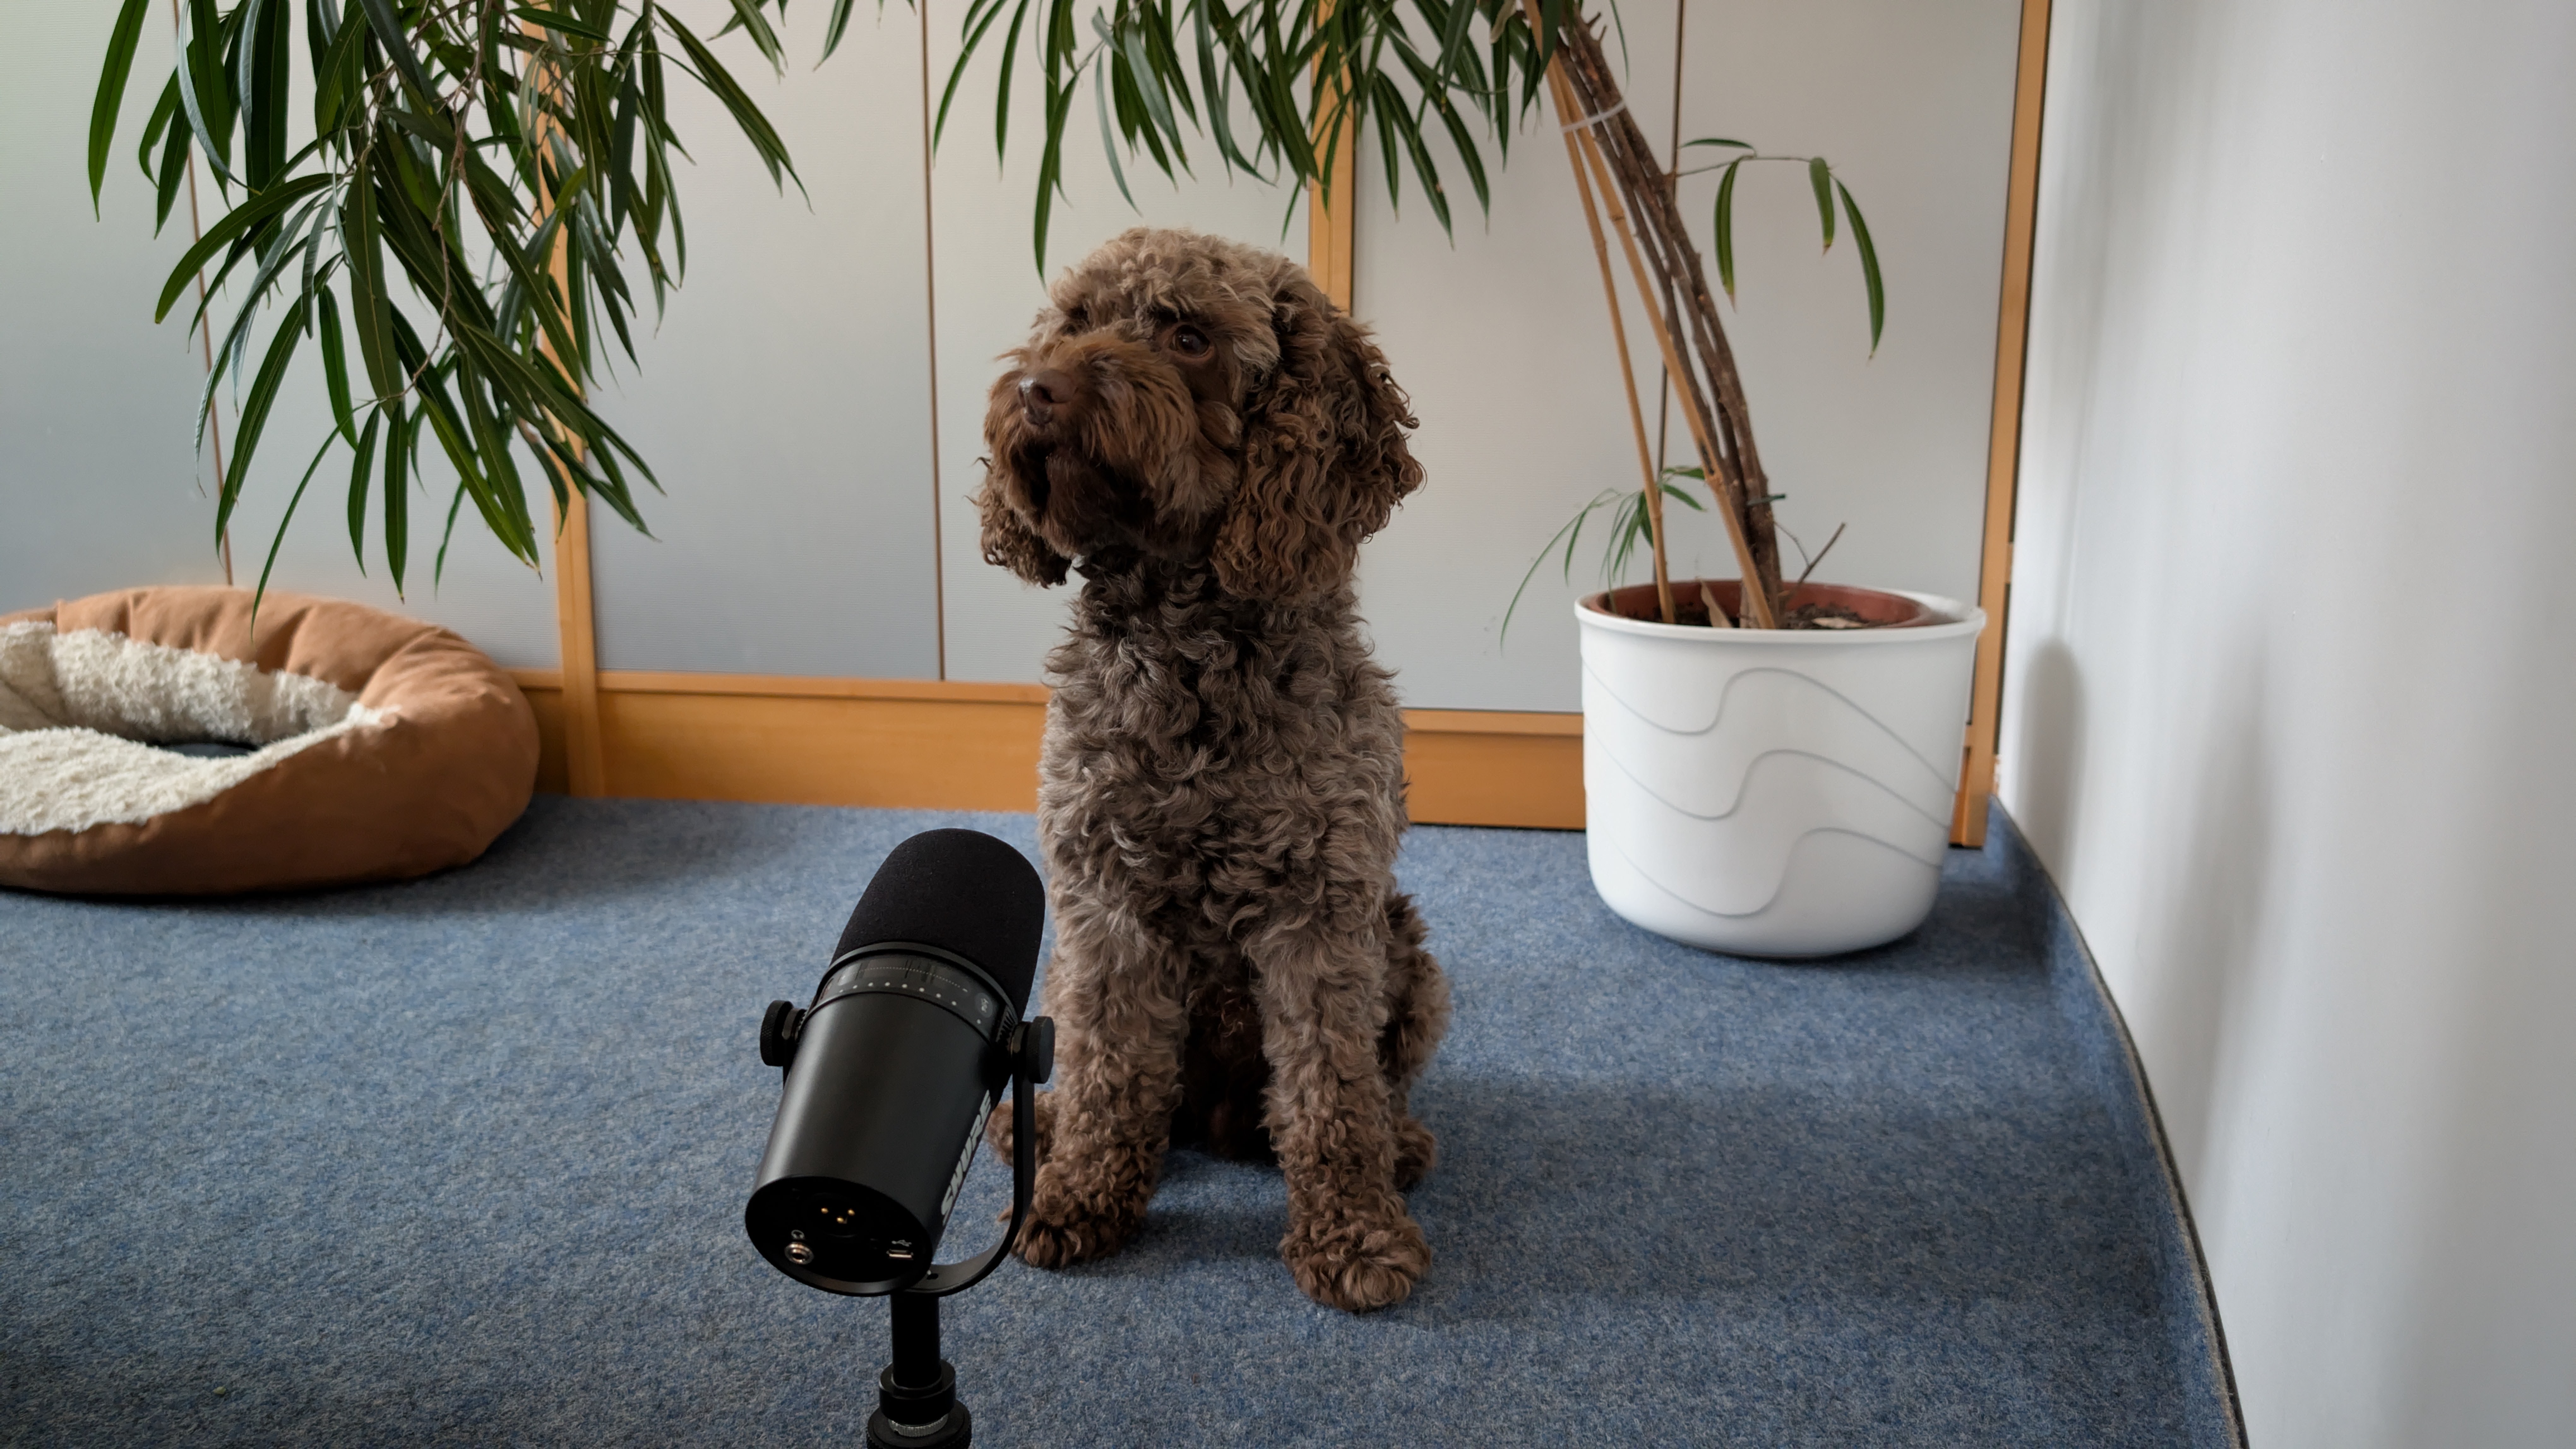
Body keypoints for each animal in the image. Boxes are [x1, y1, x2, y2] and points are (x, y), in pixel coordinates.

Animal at [974, 225, 1453, 1309]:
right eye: (1072, 323)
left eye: (1188, 336)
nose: (1035, 390)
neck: (1187, 648)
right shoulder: (1103, 904)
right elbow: (1110, 1068)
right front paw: (1079, 1194)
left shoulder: (1321, 911)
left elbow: (1330, 1090)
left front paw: (1354, 1230)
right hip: (1065, 962)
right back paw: (1046, 1126)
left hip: (1406, 952)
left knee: (1367, 1084)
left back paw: (1397, 1145)